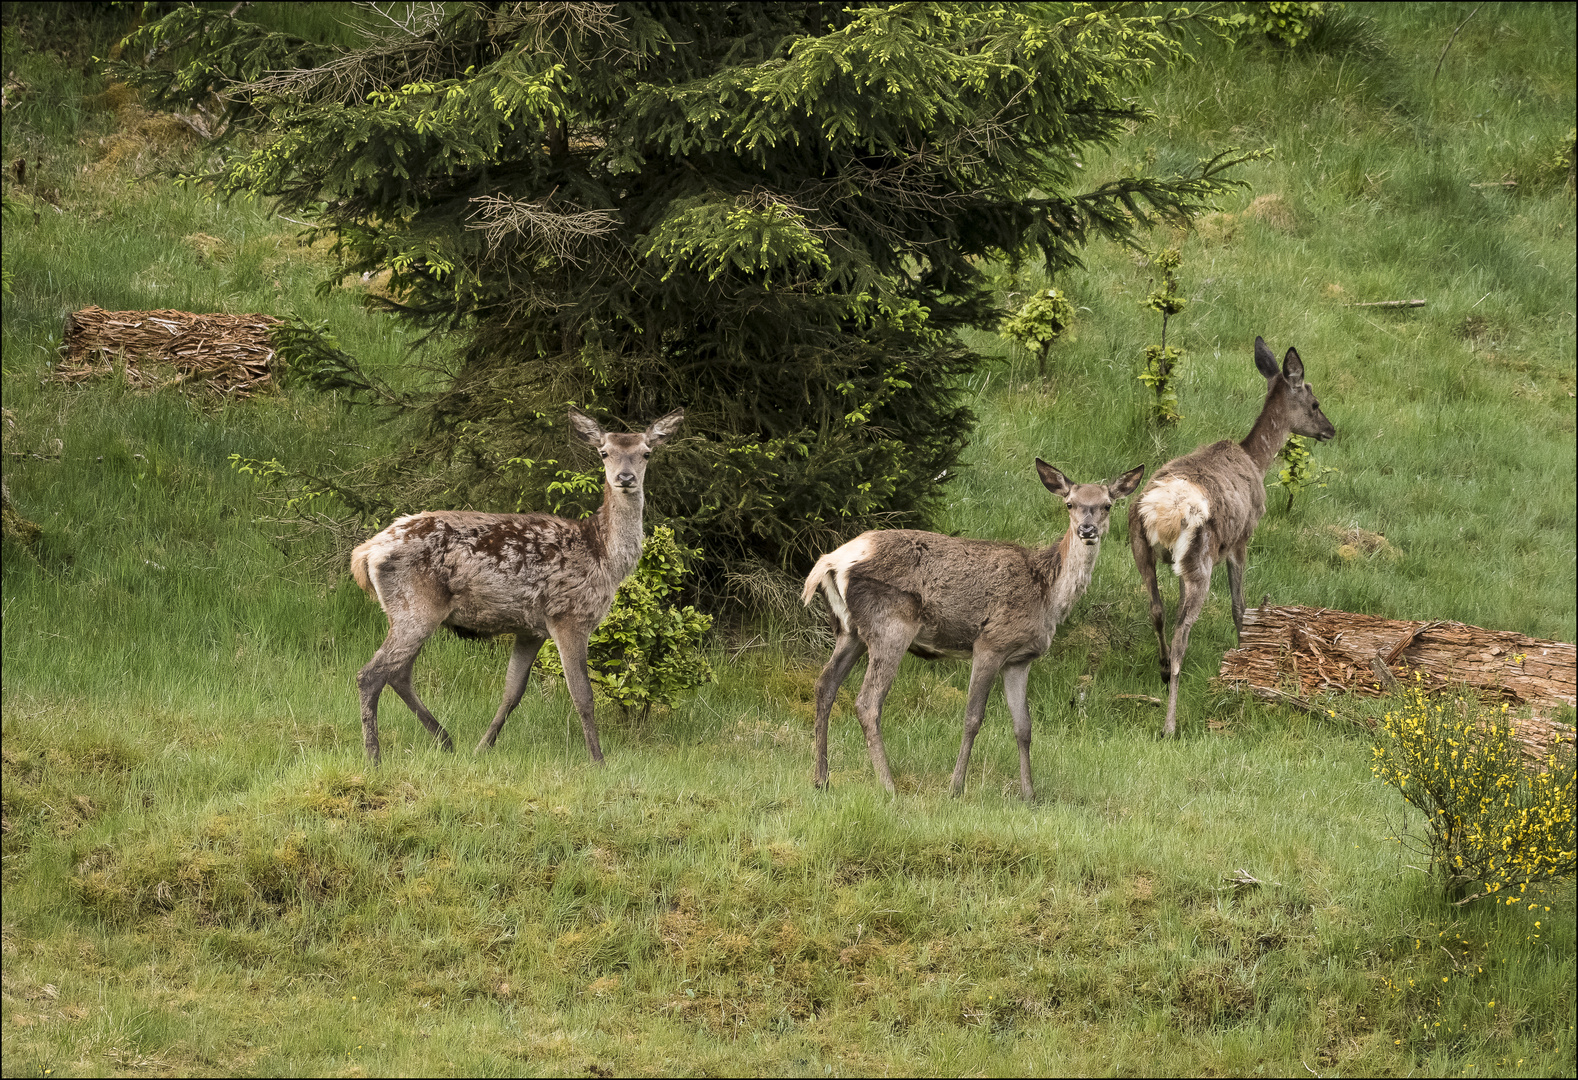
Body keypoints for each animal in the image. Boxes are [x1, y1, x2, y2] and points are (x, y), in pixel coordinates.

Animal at [351, 407, 684, 767]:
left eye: (646, 452)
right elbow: (582, 694)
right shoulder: (569, 615)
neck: (604, 557)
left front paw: (482, 747)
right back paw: (374, 757)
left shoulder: (531, 629)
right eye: (604, 452)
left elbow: (512, 692)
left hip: (411, 612)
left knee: (399, 673)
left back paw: (445, 740)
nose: (625, 477)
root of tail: (366, 552)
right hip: (415, 606)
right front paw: (598, 760)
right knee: (371, 674)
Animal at [801, 461, 1148, 795]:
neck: (1048, 595)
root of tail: (830, 561)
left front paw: (1029, 794)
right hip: (890, 624)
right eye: (1070, 503)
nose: (1086, 529)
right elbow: (972, 717)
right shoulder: (990, 643)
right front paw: (956, 788)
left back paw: (822, 779)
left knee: (824, 685)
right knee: (867, 702)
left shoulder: (1019, 659)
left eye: (1106, 505)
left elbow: (1024, 726)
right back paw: (887, 785)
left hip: (850, 631)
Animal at [1129, 339, 1338, 742]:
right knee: (1181, 636)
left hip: (1140, 548)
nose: (1331, 429)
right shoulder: (1242, 538)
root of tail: (1160, 511)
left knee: (1157, 610)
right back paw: (1170, 724)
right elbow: (1240, 606)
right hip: (1201, 558)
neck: (1257, 461)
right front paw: (1243, 654)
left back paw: (1161, 670)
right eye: (1315, 402)